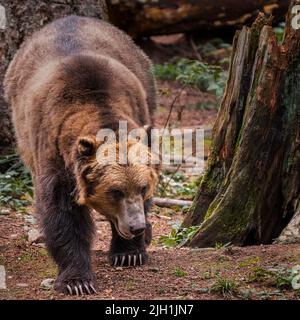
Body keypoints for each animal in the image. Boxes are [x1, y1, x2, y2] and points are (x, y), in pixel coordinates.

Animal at [4, 15, 159, 296]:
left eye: (143, 187)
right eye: (115, 191)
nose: (136, 227)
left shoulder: (141, 115)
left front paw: (129, 253)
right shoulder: (56, 153)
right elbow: (62, 212)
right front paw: (77, 281)